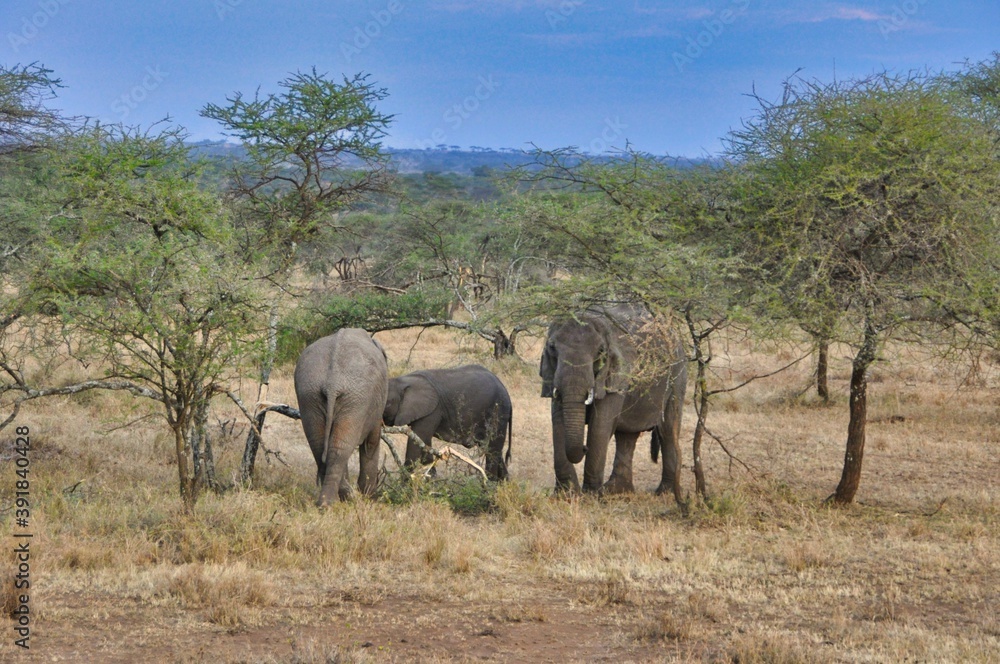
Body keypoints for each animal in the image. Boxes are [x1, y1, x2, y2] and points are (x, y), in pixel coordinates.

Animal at [294, 328, 388, 507]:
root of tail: (332, 383)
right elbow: (372, 442)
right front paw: (369, 497)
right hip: (357, 399)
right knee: (341, 448)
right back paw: (345, 499)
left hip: (309, 395)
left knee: (323, 446)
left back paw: (329, 502)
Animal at [383, 364, 512, 481]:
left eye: (387, 403)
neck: (403, 381)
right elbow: (425, 443)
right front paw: (431, 479)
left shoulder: (433, 410)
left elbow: (417, 442)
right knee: (494, 450)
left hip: (498, 413)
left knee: (493, 450)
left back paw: (490, 485)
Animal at [540, 304, 687, 502]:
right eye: (552, 348)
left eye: (601, 352)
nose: (584, 448)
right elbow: (558, 422)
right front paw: (566, 495)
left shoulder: (617, 376)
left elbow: (600, 426)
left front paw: (590, 497)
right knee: (627, 436)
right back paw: (617, 491)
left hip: (677, 377)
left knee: (668, 431)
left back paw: (664, 493)